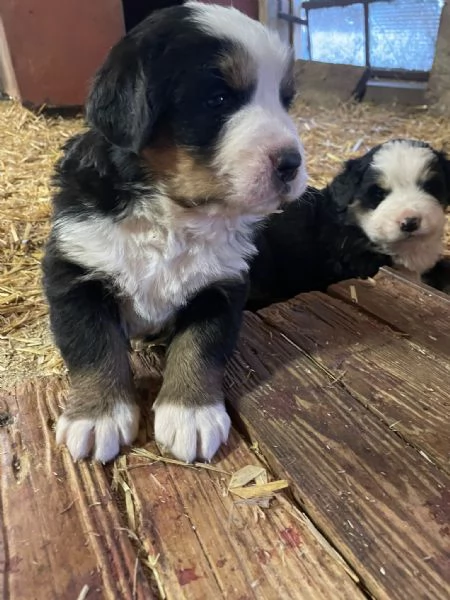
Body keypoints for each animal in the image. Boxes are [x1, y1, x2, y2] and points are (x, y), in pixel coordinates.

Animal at [42, 1, 308, 464]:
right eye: (218, 99)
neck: (173, 217)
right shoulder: (75, 270)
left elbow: (198, 347)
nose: (291, 163)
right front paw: (97, 414)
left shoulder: (222, 284)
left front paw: (191, 414)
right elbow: (94, 346)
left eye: (285, 100)